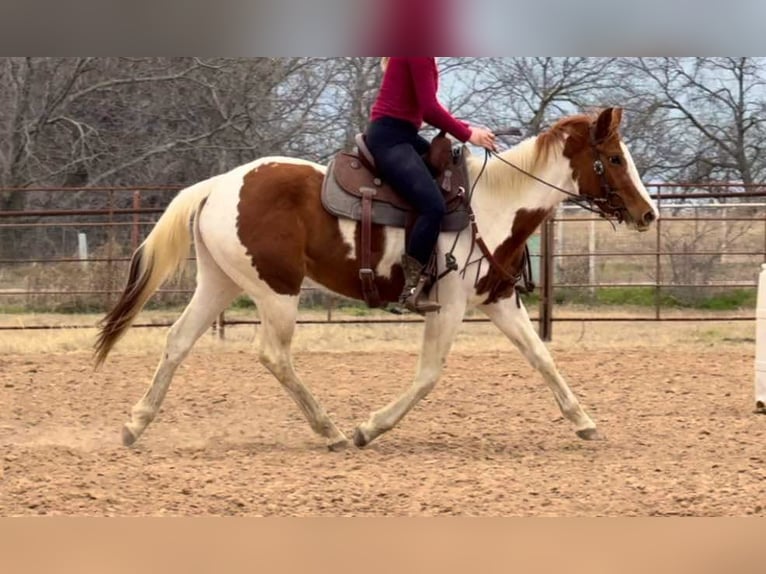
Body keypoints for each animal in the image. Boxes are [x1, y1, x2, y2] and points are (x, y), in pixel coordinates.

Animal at [94, 107, 658, 450]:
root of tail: (218, 185)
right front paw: (370, 427)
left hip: (220, 283)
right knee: (273, 355)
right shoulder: (448, 306)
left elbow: (541, 357)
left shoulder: (499, 300)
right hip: (276, 292)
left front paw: (584, 421)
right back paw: (333, 432)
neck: (491, 205)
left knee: (178, 341)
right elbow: (428, 374)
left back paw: (134, 424)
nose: (648, 213)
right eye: (613, 158)